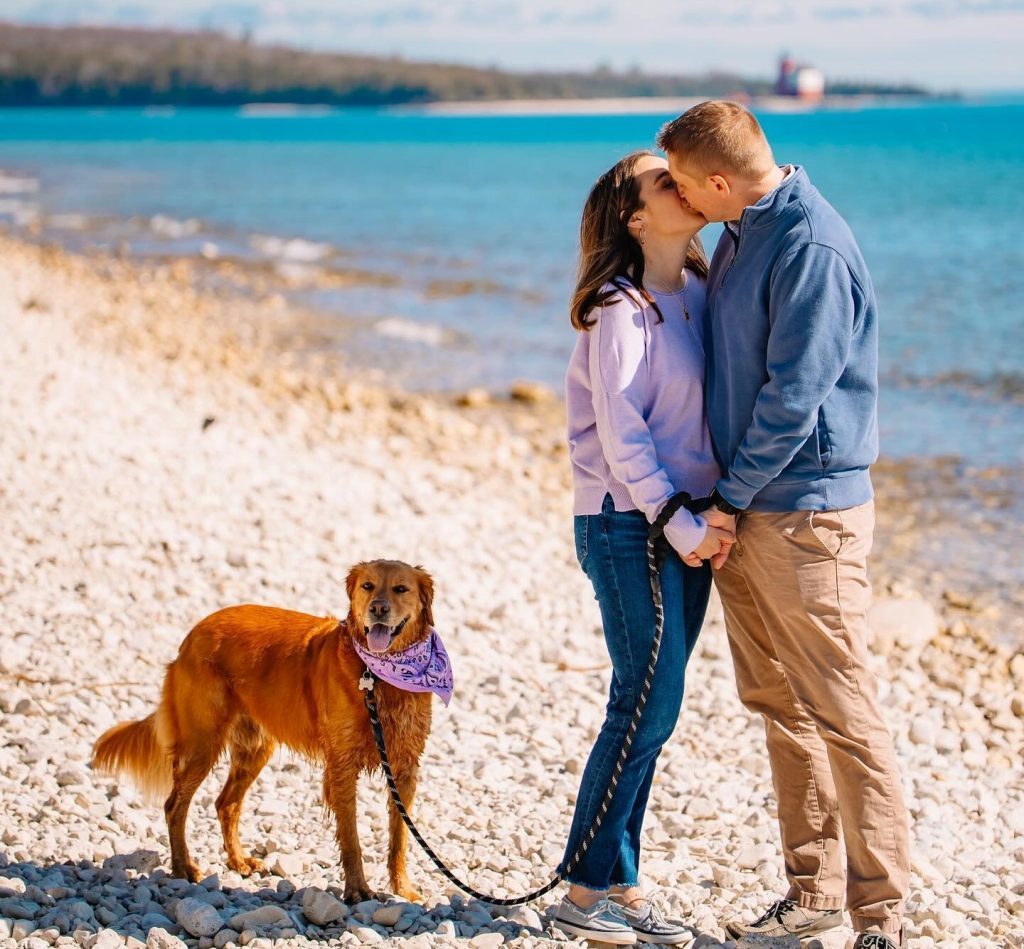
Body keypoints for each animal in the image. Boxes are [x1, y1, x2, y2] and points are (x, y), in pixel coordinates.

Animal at [91, 561, 436, 900]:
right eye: (368, 586)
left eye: (401, 589)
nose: (378, 608)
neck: (378, 676)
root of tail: (193, 634)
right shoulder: (342, 765)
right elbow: (351, 836)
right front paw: (358, 890)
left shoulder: (404, 768)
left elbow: (400, 836)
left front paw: (403, 889)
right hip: (202, 743)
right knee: (175, 806)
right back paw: (183, 868)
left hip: (254, 748)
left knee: (225, 803)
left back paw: (238, 861)